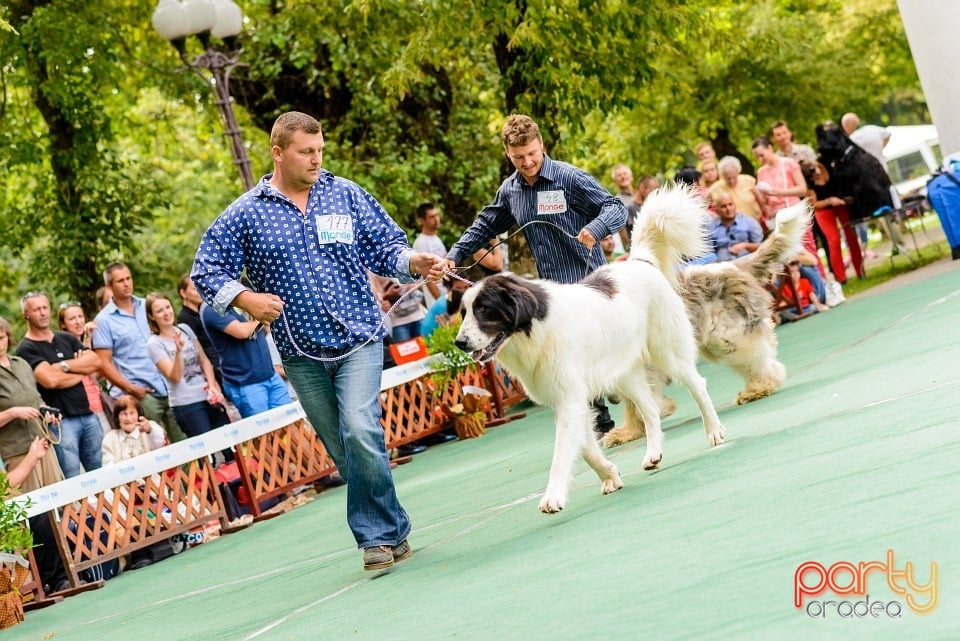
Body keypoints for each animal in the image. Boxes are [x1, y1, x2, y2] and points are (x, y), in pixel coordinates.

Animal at [454, 184, 724, 510]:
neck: (535, 328)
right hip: (623, 374)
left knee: (698, 385)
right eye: (464, 312)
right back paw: (653, 454)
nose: (459, 342)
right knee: (649, 409)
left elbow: (563, 452)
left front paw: (554, 495)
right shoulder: (569, 398)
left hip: (667, 352)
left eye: (483, 309)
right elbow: (584, 447)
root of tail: (638, 262)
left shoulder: (569, 398)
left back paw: (714, 431)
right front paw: (609, 475)